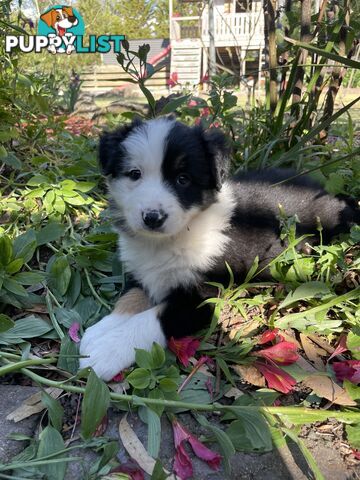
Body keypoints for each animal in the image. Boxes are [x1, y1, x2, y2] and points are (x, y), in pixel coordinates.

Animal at [79, 115, 360, 378]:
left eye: (183, 179)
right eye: (135, 174)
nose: (152, 217)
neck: (169, 239)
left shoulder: (204, 294)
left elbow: (153, 318)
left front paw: (107, 350)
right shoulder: (142, 271)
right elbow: (131, 297)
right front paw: (101, 330)